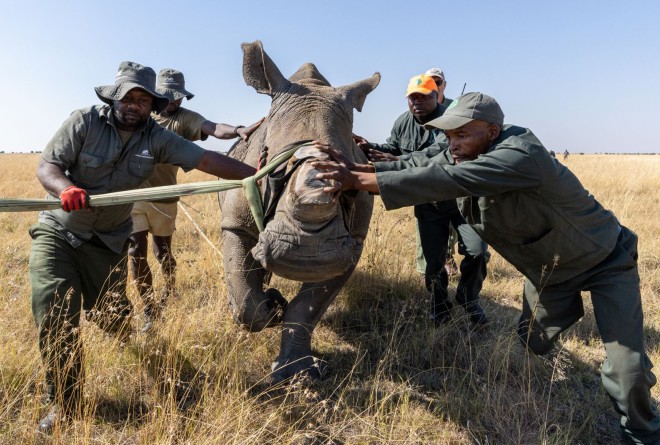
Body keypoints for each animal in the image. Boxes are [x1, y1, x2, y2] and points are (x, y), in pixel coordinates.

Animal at [219, 41, 380, 383]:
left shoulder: (353, 243)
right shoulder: (235, 223)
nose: (306, 255)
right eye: (274, 171)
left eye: (349, 176)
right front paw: (271, 307)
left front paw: (299, 374)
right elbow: (246, 300)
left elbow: (307, 309)